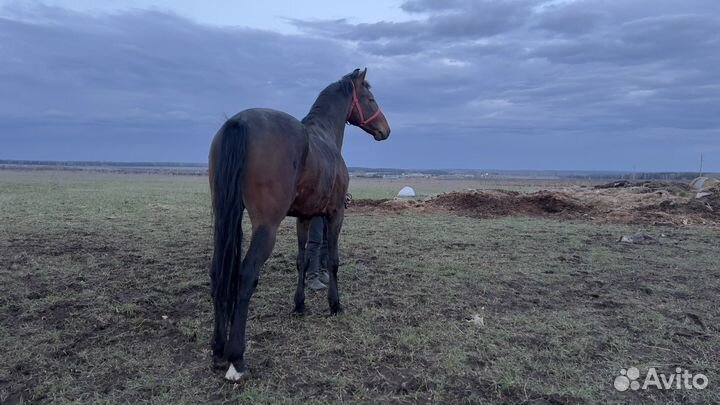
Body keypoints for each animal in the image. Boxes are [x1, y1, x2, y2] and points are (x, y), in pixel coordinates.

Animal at [208, 68, 391, 381]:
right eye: (370, 97)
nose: (385, 129)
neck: (323, 136)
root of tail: (239, 122)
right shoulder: (335, 214)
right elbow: (333, 261)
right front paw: (335, 304)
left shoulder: (304, 218)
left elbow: (302, 260)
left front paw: (300, 305)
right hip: (266, 227)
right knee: (245, 275)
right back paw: (236, 358)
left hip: (223, 217)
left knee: (218, 270)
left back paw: (219, 349)